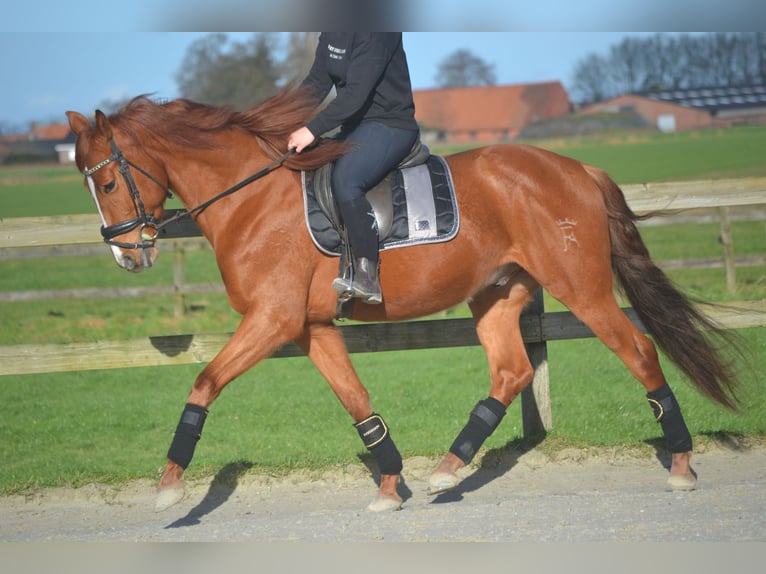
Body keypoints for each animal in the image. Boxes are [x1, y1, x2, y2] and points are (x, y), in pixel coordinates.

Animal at [66, 89, 736, 512]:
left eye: (108, 181)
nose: (127, 256)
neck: (250, 199)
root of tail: (576, 169)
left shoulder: (271, 320)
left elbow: (204, 383)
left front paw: (169, 486)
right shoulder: (309, 327)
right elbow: (356, 399)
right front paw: (390, 484)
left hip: (584, 289)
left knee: (639, 351)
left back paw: (680, 464)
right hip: (497, 295)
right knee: (511, 371)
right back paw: (446, 468)